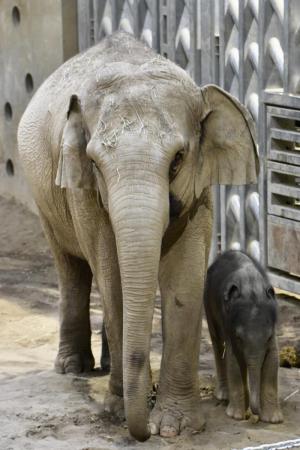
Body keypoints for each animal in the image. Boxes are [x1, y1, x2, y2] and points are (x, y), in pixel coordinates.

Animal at [18, 32, 258, 442]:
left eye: (177, 159)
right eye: (95, 163)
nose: (142, 433)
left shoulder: (201, 189)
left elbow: (184, 280)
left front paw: (176, 427)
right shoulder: (83, 192)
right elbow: (111, 275)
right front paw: (118, 409)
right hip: (45, 198)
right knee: (72, 269)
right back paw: (73, 367)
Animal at [205, 251, 282, 424]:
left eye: (268, 337)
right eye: (239, 337)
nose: (255, 414)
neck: (252, 286)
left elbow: (273, 360)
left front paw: (273, 420)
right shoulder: (229, 323)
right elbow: (233, 360)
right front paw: (236, 416)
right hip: (207, 301)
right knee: (218, 344)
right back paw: (223, 396)